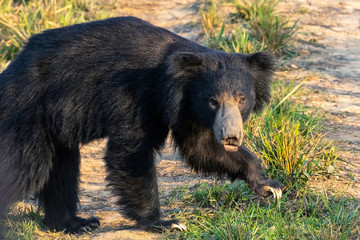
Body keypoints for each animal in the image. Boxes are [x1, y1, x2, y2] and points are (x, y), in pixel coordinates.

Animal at [0, 16, 282, 234]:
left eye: (241, 99)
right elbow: (131, 153)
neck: (173, 81)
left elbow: (202, 149)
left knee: (61, 170)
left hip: (53, 129)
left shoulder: (187, 110)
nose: (231, 137)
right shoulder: (139, 95)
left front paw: (269, 186)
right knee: (23, 168)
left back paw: (77, 223)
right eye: (213, 101)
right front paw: (165, 223)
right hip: (26, 115)